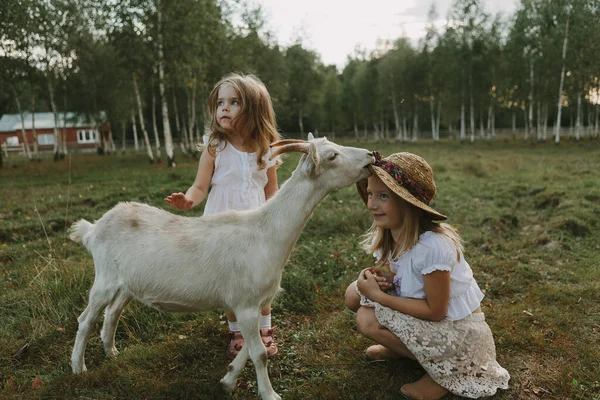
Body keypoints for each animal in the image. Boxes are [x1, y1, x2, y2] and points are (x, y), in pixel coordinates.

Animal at [70, 133, 376, 398]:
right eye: (332, 156)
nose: (371, 155)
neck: (266, 233)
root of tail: (93, 229)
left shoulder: (254, 303)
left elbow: (253, 346)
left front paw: (228, 380)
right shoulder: (245, 301)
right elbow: (259, 353)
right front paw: (270, 394)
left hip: (127, 284)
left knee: (112, 313)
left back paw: (112, 353)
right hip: (105, 278)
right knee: (86, 318)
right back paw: (78, 367)